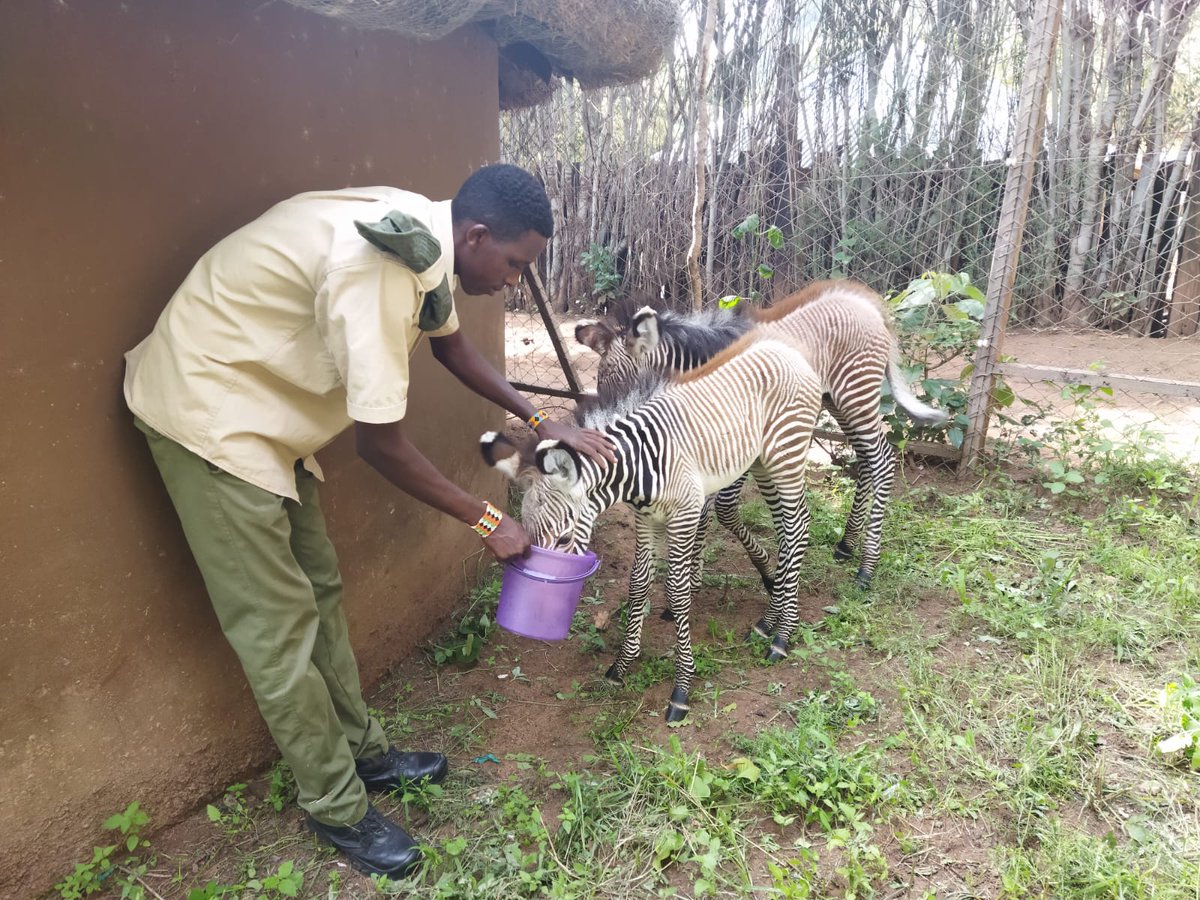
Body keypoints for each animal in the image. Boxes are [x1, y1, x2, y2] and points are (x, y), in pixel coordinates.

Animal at [482, 334, 824, 722]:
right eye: (527, 535)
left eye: (566, 537)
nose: (538, 603)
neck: (638, 467)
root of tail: (785, 349)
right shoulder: (645, 521)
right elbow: (637, 583)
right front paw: (622, 665)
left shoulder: (685, 515)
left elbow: (676, 590)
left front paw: (682, 687)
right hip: (764, 461)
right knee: (788, 526)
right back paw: (771, 616)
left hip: (786, 455)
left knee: (797, 526)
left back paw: (783, 634)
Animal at [581, 280, 947, 588]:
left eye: (622, 387)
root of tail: (867, 300)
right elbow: (705, 511)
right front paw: (695, 577)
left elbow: (723, 509)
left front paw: (769, 572)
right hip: (837, 399)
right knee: (867, 459)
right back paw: (846, 544)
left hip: (855, 394)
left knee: (882, 460)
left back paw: (866, 567)